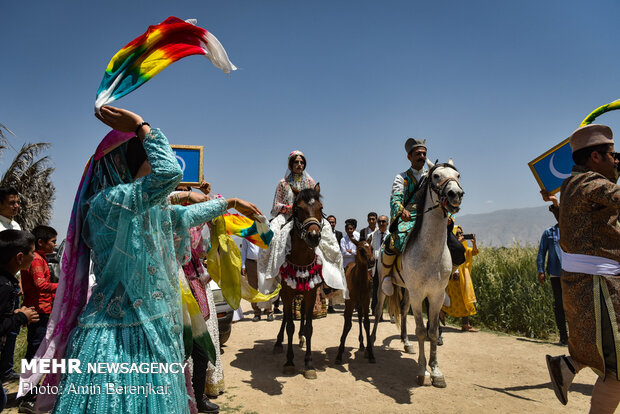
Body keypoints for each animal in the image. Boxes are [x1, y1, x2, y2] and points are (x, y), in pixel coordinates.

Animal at [274, 188, 324, 378]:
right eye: (298, 209)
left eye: (320, 207)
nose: (313, 236)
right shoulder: (287, 293)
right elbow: (289, 325)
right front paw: (289, 362)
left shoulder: (311, 292)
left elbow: (309, 327)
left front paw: (309, 364)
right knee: (286, 317)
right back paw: (278, 343)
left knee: (301, 313)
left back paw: (301, 337)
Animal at [370, 159, 462, 388]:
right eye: (436, 176)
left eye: (458, 175)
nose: (456, 194)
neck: (430, 252)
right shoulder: (419, 295)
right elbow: (421, 331)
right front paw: (422, 371)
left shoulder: (435, 295)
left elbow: (433, 331)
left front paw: (436, 371)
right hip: (385, 286)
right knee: (377, 310)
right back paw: (370, 346)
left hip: (406, 290)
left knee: (403, 311)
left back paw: (405, 343)